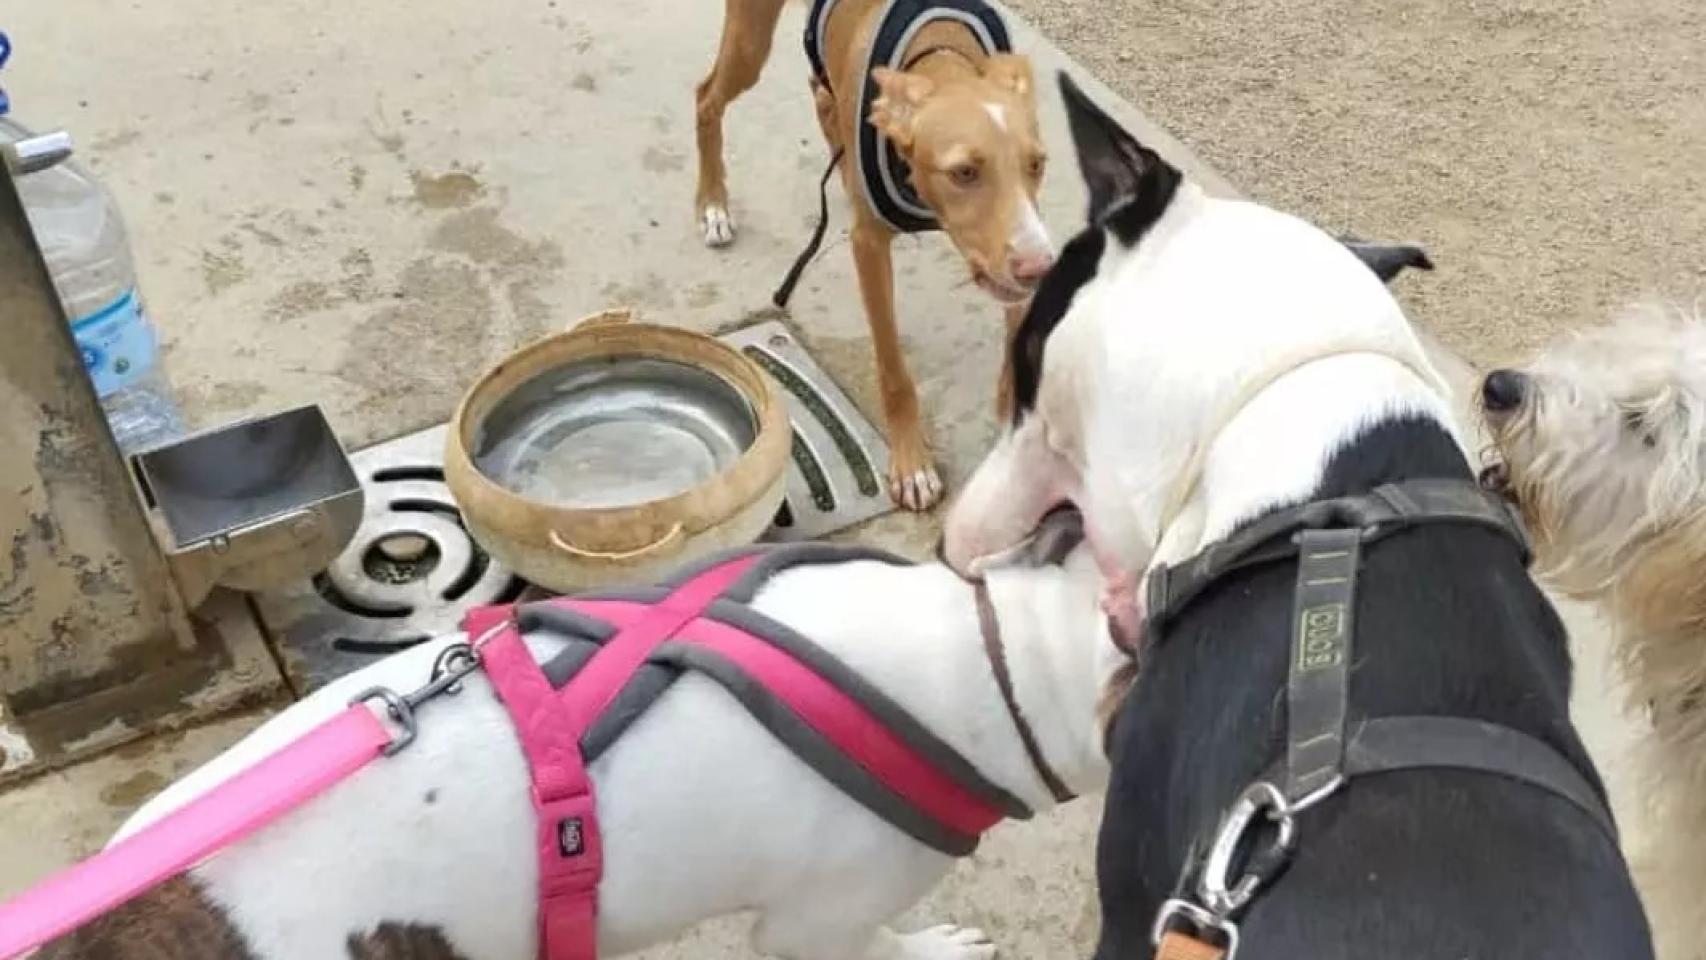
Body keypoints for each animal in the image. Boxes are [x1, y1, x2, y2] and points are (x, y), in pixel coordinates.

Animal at [692, 0, 1050, 514]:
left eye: (1036, 164)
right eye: (963, 172)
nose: (1039, 268)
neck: (941, 50)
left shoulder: (1018, 248)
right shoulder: (871, 249)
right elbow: (894, 370)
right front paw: (912, 466)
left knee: (820, 95)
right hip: (748, 42)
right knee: (706, 97)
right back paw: (713, 206)